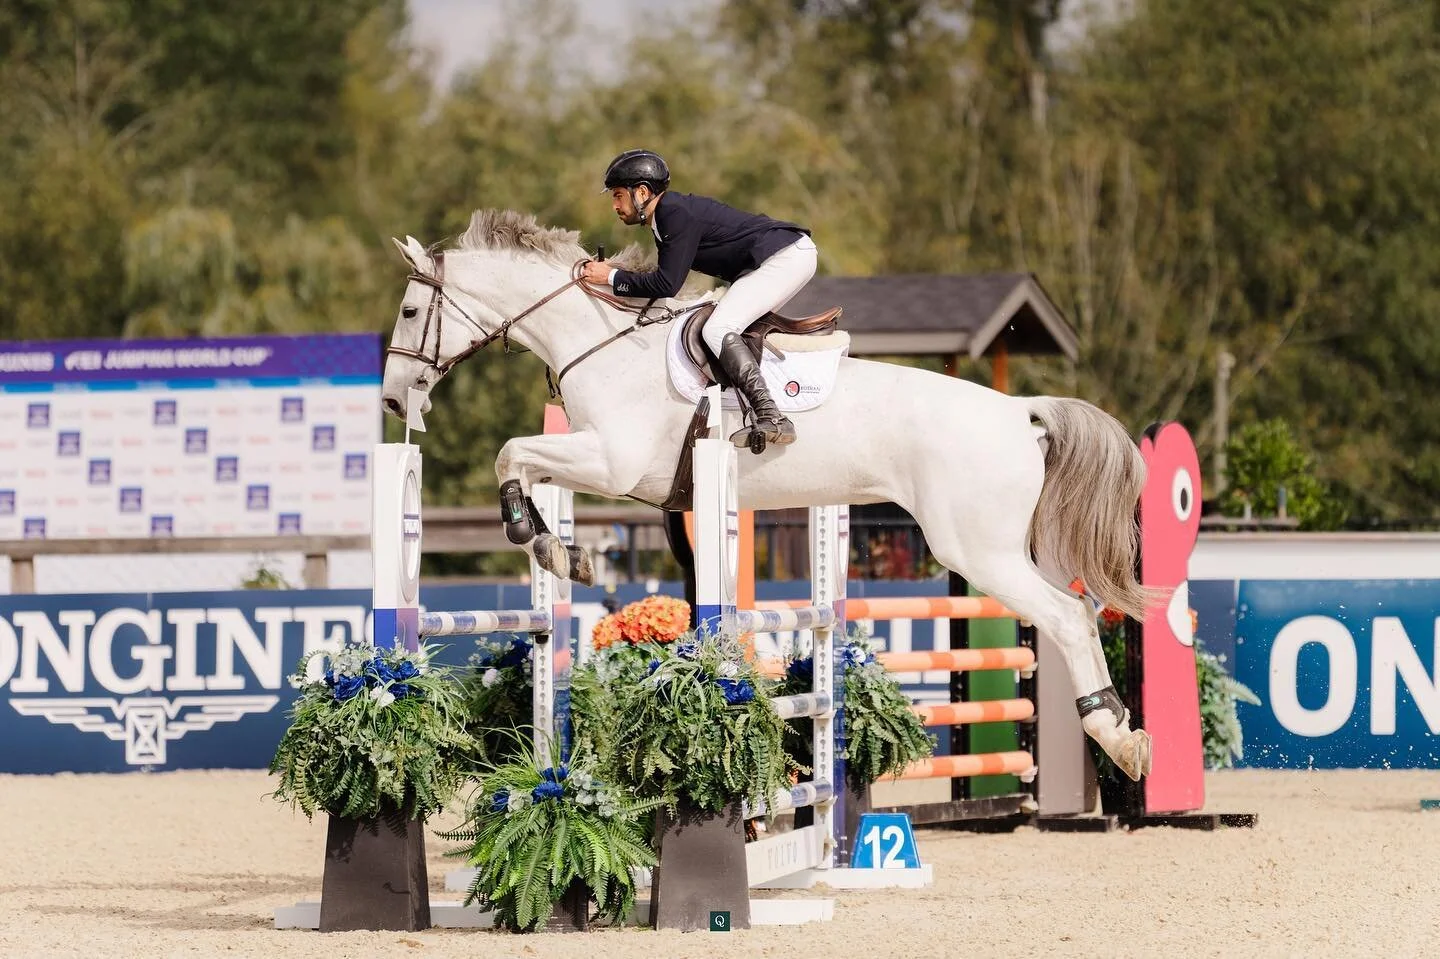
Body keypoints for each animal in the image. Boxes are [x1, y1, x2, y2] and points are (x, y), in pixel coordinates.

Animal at [380, 207, 1157, 777]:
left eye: (412, 313)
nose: (392, 401)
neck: (600, 344)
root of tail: (1020, 411)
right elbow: (523, 464)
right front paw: (560, 549)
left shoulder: (612, 463)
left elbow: (511, 453)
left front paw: (542, 542)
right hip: (999, 547)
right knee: (1079, 609)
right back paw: (1123, 731)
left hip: (977, 549)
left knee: (1068, 616)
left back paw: (1115, 736)